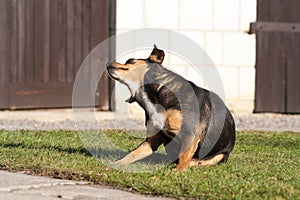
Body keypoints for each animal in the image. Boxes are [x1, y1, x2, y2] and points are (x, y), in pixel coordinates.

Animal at [106, 45, 236, 170]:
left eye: (130, 60)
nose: (108, 63)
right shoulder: (151, 142)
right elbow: (132, 154)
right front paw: (116, 164)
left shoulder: (189, 135)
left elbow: (184, 156)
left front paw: (178, 170)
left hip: (219, 156)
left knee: (198, 161)